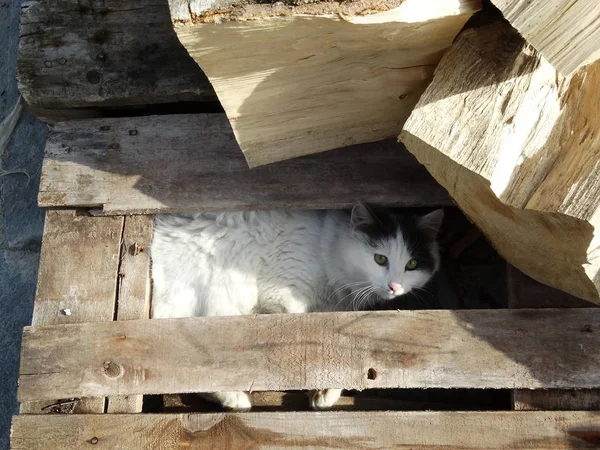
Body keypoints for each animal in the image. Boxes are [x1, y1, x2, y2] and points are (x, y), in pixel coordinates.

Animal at [150, 204, 440, 412]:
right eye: (380, 259)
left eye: (412, 265)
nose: (394, 286)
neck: (328, 248)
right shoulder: (284, 294)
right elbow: (305, 344)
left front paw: (327, 391)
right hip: (219, 302)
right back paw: (236, 400)